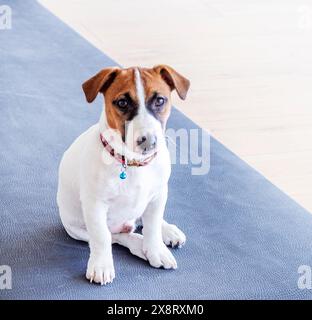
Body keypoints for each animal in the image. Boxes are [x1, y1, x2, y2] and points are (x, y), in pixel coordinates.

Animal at [57, 65, 191, 284]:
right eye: (122, 102)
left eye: (160, 100)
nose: (149, 142)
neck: (134, 164)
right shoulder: (95, 206)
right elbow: (102, 237)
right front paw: (101, 266)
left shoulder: (159, 194)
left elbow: (152, 226)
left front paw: (156, 249)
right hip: (76, 229)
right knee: (117, 237)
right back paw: (137, 245)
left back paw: (167, 230)